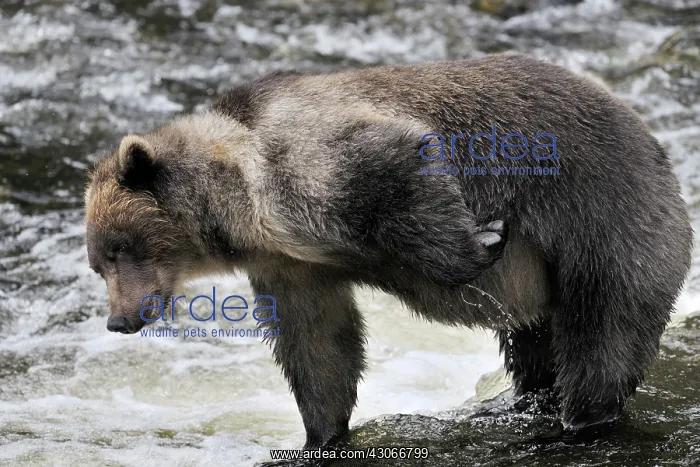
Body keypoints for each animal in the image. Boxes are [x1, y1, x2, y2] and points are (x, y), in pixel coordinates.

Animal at [84, 53, 693, 449]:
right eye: (97, 264)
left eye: (118, 250)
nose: (119, 319)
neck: (244, 206)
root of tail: (656, 145)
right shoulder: (291, 263)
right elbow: (317, 342)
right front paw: (322, 433)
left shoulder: (305, 162)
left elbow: (395, 163)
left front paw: (485, 240)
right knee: (533, 345)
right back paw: (520, 400)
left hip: (607, 221)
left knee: (603, 333)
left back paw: (582, 420)